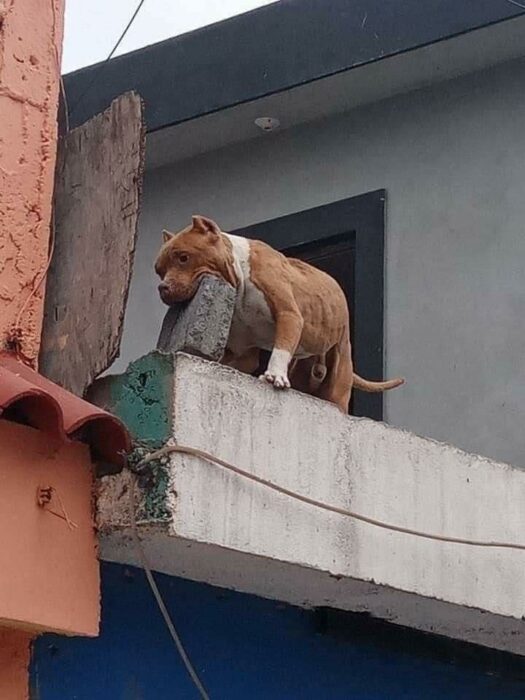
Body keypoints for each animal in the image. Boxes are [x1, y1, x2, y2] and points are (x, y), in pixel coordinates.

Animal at [154, 213, 404, 410]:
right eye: (159, 271)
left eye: (184, 257)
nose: (162, 287)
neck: (240, 273)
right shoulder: (243, 352)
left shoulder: (289, 314)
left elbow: (281, 347)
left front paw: (274, 375)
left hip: (339, 372)